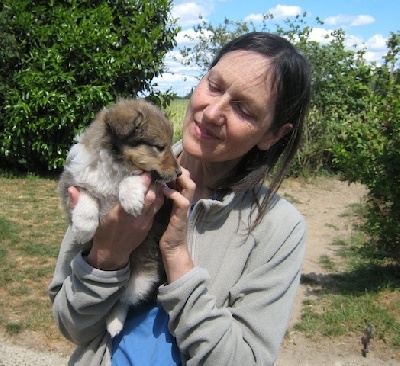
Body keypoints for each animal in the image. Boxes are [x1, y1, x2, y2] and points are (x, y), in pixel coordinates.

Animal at [58, 98, 181, 338]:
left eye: (170, 144)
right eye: (160, 147)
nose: (179, 173)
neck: (115, 165)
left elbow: (135, 176)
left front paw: (131, 199)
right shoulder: (71, 183)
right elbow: (87, 194)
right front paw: (84, 227)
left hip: (141, 279)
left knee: (124, 299)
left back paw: (114, 324)